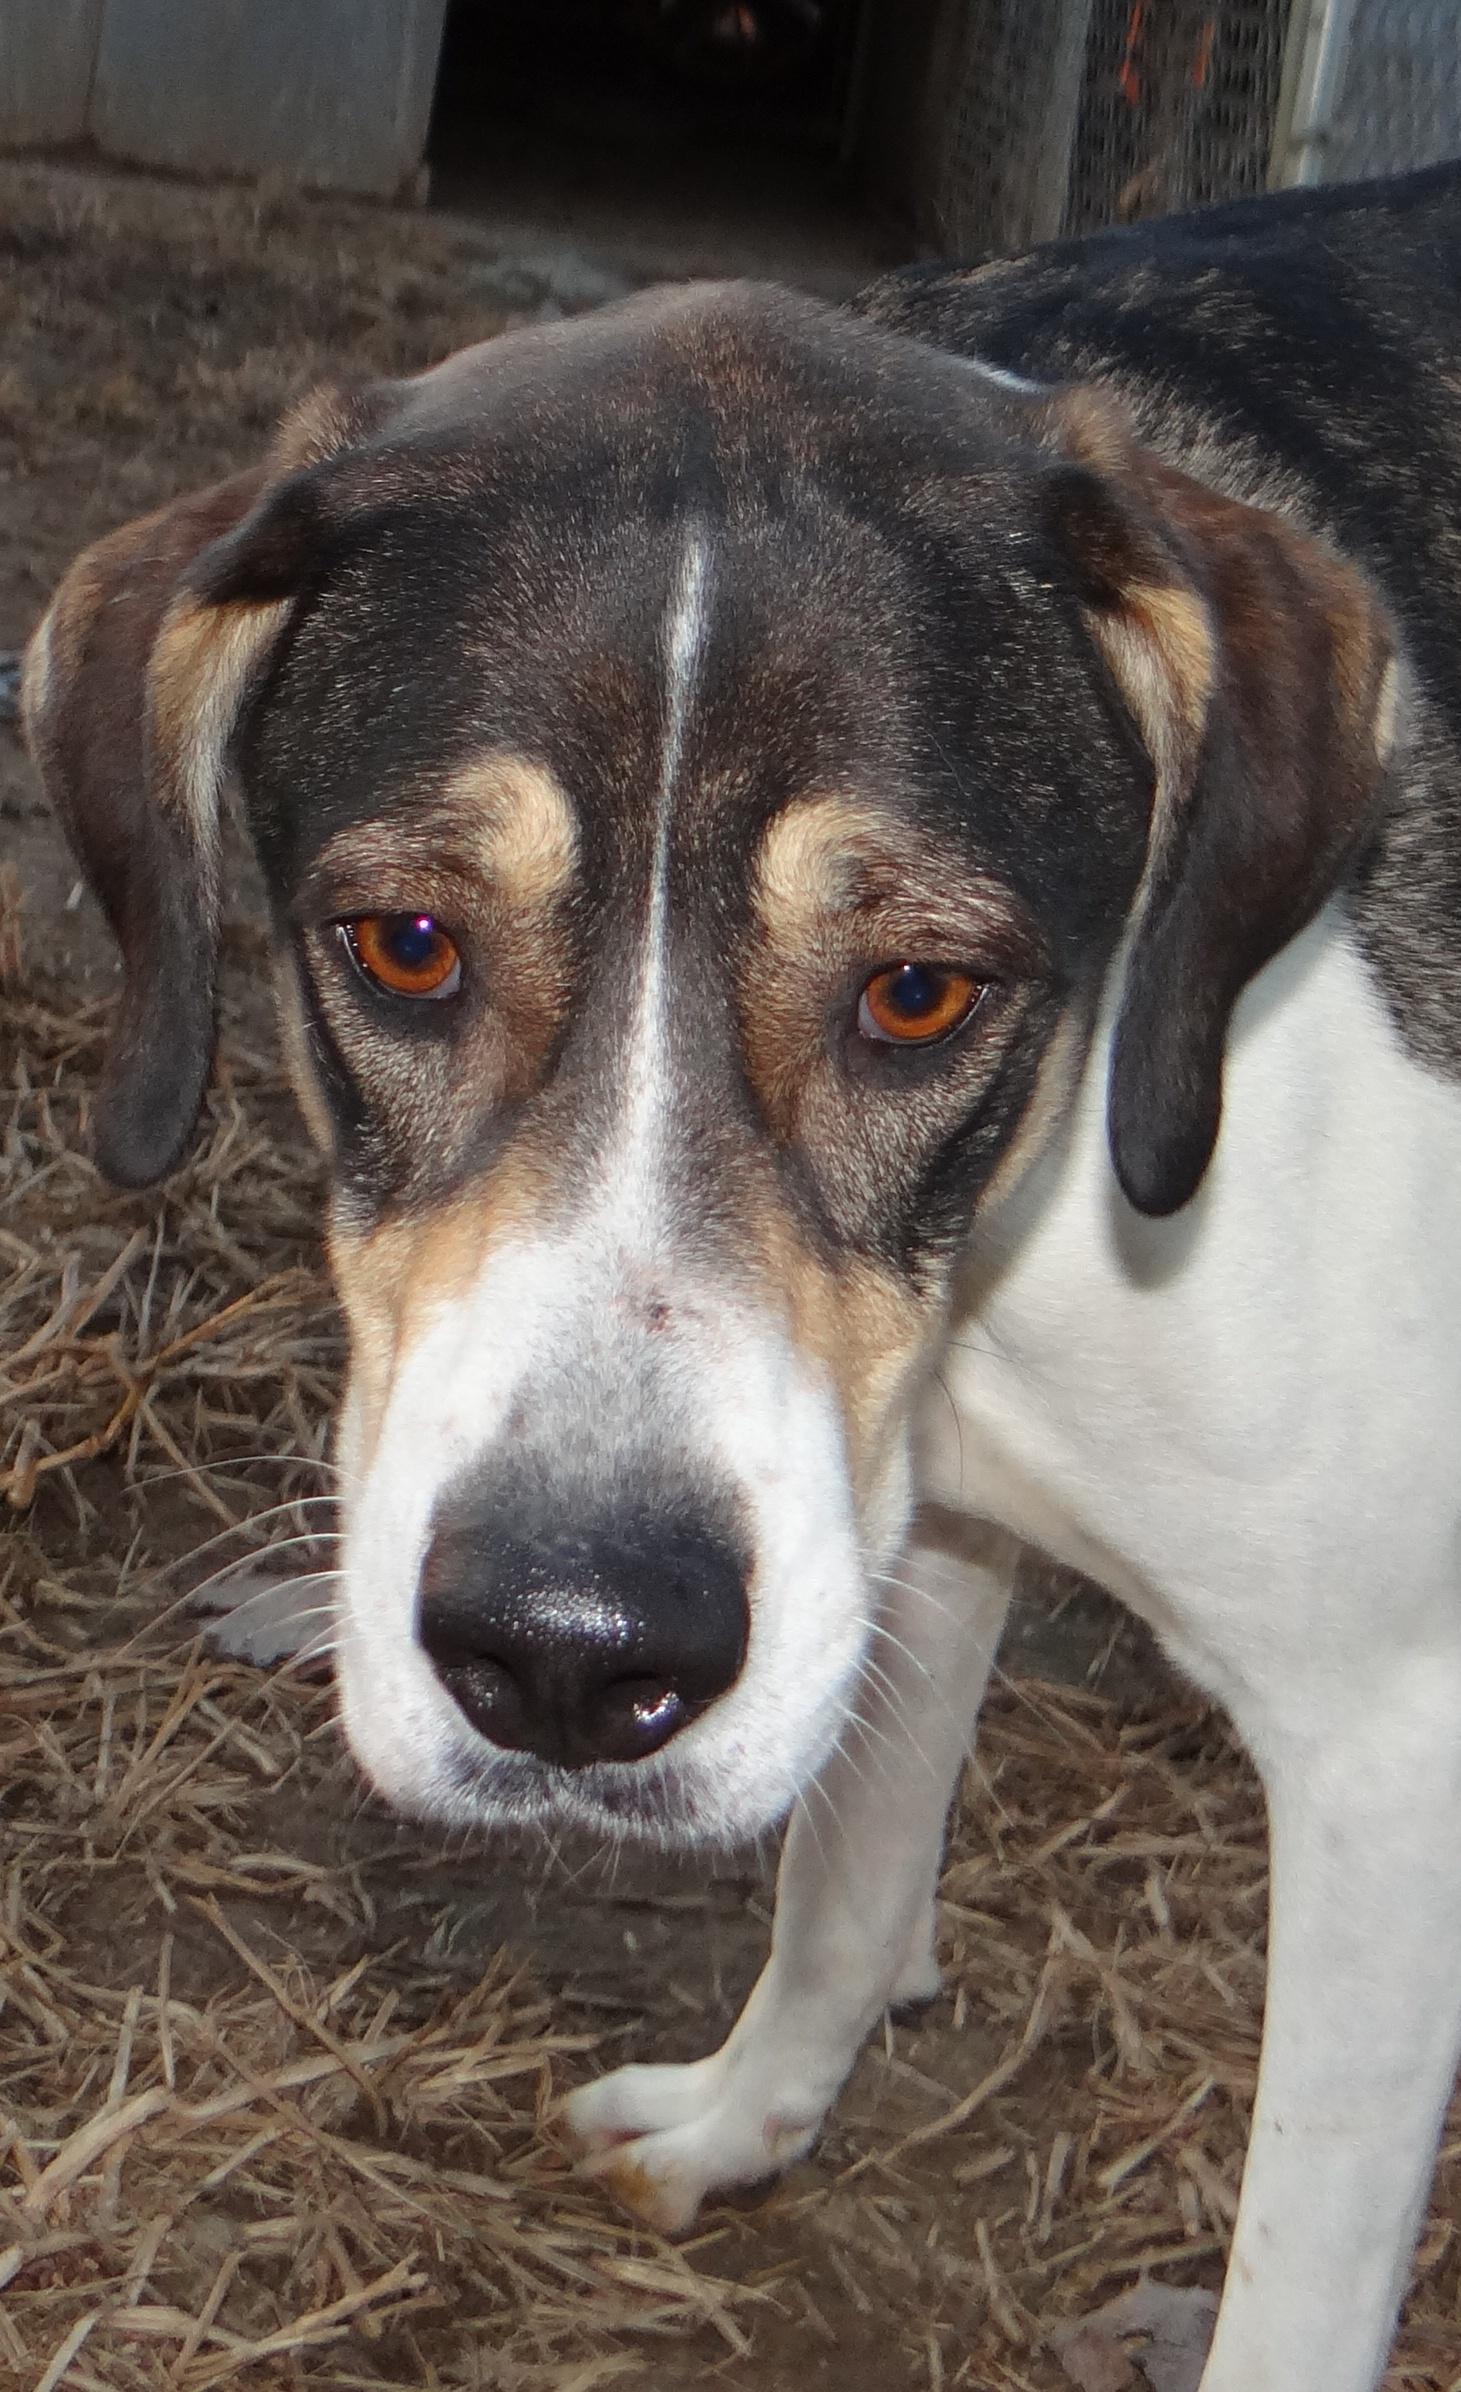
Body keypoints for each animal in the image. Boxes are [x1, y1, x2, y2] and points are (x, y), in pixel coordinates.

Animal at [20, 159, 1461, 2382]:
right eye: (405, 943)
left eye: (919, 989)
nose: (563, 1656)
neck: (1014, 1242)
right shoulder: (905, 1529)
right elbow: (845, 1882)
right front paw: (740, 2119)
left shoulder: (1392, 1745)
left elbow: (1291, 2295)